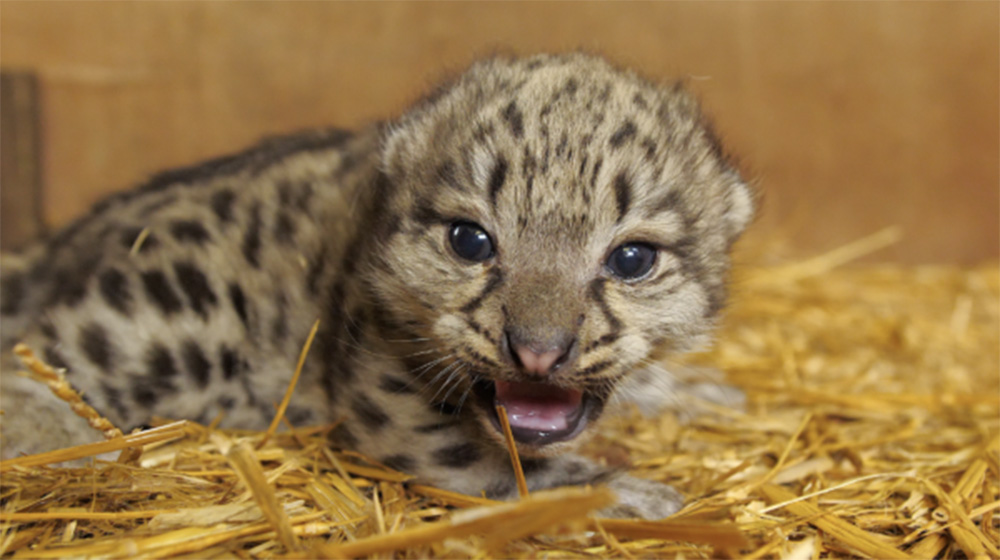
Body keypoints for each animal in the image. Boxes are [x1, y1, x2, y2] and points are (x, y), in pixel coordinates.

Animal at [0, 52, 754, 519]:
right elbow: (500, 466)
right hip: (167, 318)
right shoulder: (395, 406)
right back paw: (51, 433)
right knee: (44, 355)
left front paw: (699, 391)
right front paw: (626, 492)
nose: (537, 352)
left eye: (632, 258)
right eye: (470, 240)